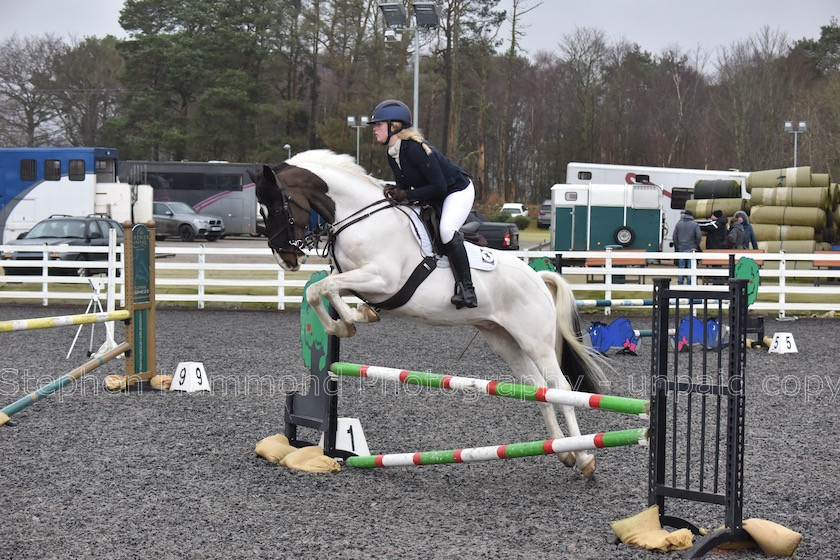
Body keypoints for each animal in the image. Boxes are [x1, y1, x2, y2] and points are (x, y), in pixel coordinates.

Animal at [251, 149, 612, 476]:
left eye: (277, 207)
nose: (285, 259)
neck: (362, 217)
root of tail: (538, 277)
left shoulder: (382, 280)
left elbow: (324, 288)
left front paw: (351, 322)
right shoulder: (355, 278)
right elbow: (322, 290)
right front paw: (350, 322)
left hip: (535, 339)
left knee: (559, 386)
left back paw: (584, 458)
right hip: (504, 339)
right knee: (537, 388)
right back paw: (562, 451)